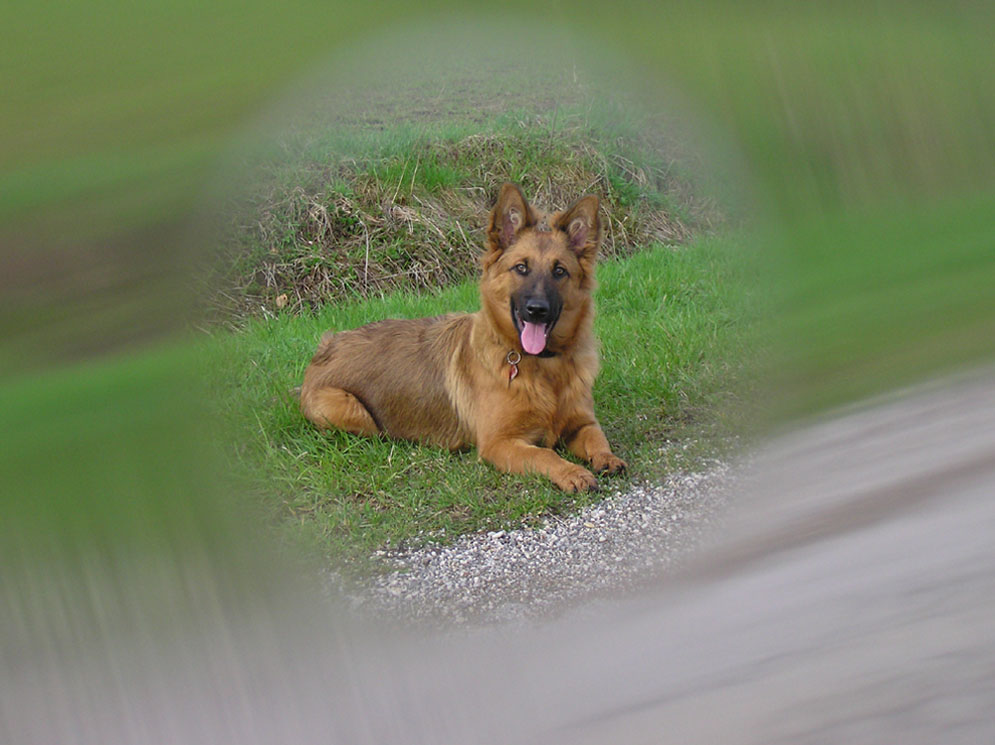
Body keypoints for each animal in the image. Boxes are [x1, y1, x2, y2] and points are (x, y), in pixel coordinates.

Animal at [300, 183, 628, 492]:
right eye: (521, 267)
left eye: (559, 271)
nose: (537, 310)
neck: (544, 368)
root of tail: (326, 347)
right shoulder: (500, 443)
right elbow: (545, 454)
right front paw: (572, 472)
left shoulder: (581, 423)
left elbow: (597, 438)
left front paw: (607, 458)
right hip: (350, 411)